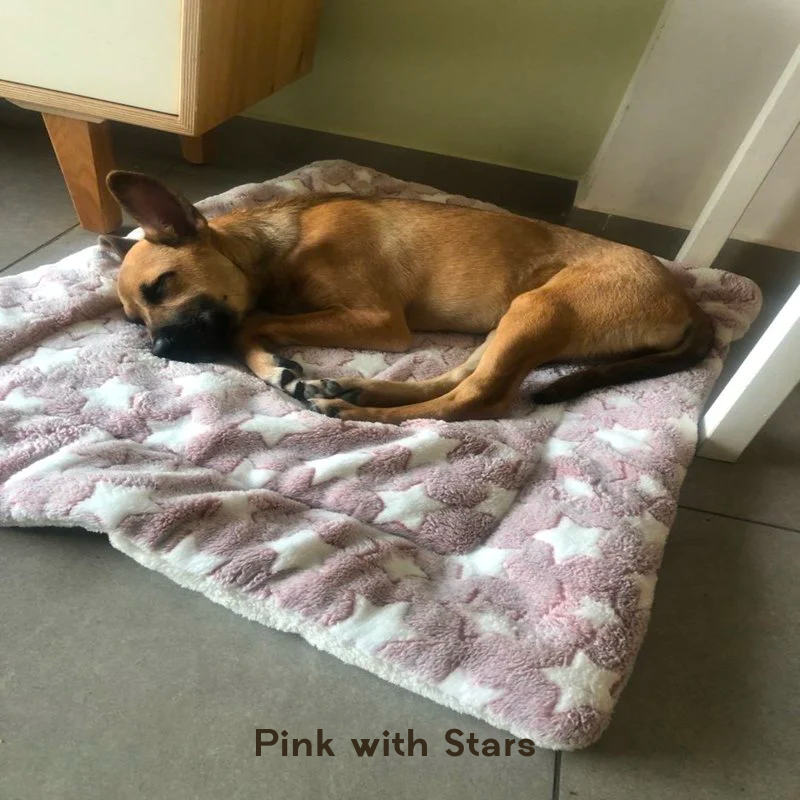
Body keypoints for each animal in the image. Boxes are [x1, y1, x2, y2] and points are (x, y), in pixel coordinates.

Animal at [101, 170, 712, 424]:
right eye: (133, 321)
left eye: (162, 285)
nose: (159, 352)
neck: (278, 248)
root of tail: (686, 297)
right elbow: (253, 327)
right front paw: (279, 369)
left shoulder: (378, 321)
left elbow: (250, 324)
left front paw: (274, 364)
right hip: (515, 319)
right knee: (460, 377)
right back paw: (359, 389)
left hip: (538, 310)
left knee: (476, 399)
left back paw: (356, 409)